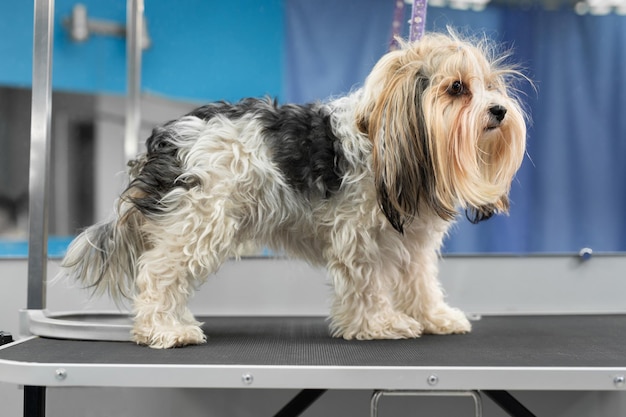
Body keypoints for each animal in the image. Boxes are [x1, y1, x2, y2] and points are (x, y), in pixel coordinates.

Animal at [61, 30, 524, 346]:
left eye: (491, 86)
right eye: (457, 88)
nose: (499, 110)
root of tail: (168, 139)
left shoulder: (412, 243)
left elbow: (421, 282)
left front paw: (434, 317)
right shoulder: (359, 241)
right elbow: (368, 287)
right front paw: (380, 324)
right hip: (198, 223)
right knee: (158, 274)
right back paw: (166, 330)